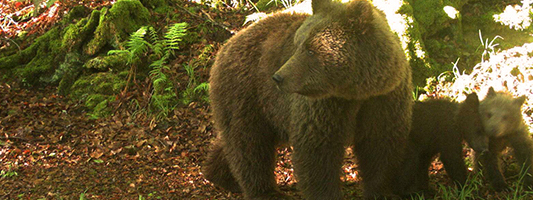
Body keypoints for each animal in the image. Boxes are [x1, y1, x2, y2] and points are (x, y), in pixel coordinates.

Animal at [203, 0, 412, 198]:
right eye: (297, 44)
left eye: (311, 50)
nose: (278, 77)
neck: (355, 92)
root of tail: (227, 45)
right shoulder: (324, 105)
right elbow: (317, 152)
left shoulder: (383, 99)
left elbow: (380, 146)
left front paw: (382, 192)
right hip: (246, 93)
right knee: (250, 145)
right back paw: (265, 192)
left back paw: (221, 175)